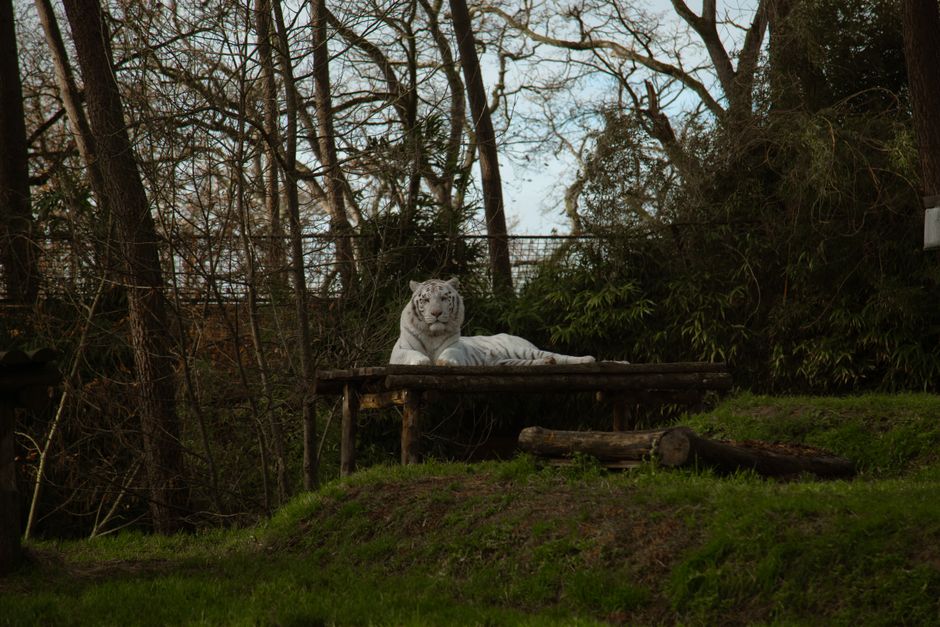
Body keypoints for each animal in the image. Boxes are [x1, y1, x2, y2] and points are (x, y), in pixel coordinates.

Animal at [389, 277, 596, 367]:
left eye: (443, 298)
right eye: (425, 300)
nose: (436, 313)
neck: (433, 333)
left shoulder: (455, 347)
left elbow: (449, 353)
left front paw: (444, 361)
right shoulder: (399, 351)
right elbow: (412, 354)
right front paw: (422, 360)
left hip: (522, 349)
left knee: (559, 356)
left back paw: (587, 359)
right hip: (507, 361)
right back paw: (547, 362)